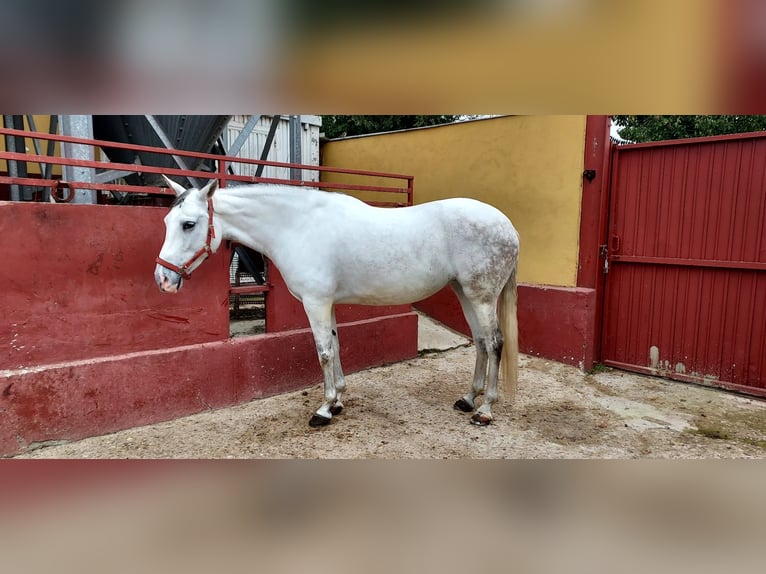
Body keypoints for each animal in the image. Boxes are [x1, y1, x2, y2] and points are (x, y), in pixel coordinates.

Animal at [154, 178, 520, 430]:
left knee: (495, 342)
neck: (298, 227)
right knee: (480, 342)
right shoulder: (327, 303)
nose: (163, 279)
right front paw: (340, 400)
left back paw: (485, 410)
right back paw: (467, 399)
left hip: (482, 297)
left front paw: (324, 409)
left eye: (189, 224)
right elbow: (337, 345)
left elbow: (324, 352)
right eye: (167, 223)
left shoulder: (315, 302)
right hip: (465, 293)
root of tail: (509, 227)